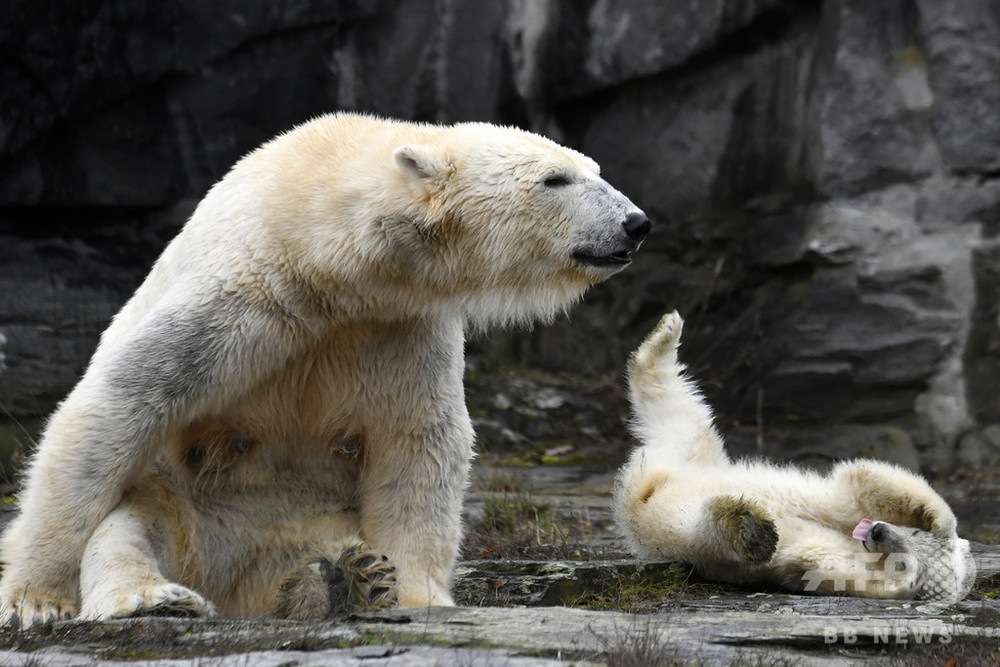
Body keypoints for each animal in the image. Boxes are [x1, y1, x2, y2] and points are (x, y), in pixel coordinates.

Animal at [0, 112, 648, 628]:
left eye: (593, 169)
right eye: (555, 179)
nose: (636, 222)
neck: (322, 258)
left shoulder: (396, 326)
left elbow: (418, 439)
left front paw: (413, 592)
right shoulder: (238, 294)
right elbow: (121, 402)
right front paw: (32, 600)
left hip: (313, 520)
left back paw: (342, 579)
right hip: (185, 507)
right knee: (131, 532)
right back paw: (157, 598)